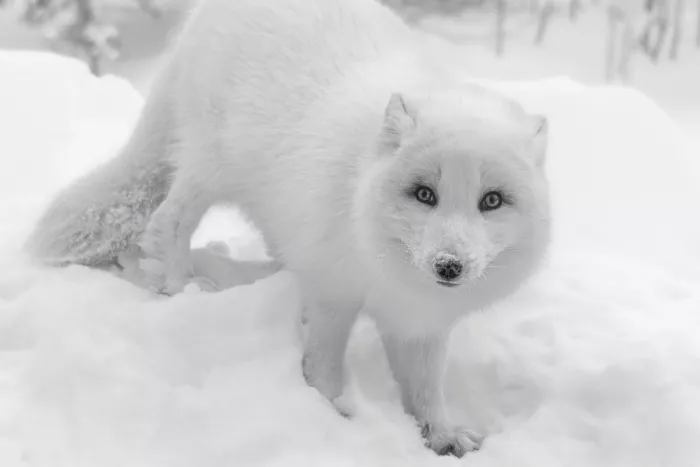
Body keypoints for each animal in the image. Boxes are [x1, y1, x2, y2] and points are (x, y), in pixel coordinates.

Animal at [25, 0, 551, 457]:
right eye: (425, 194)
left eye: (491, 201)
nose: (449, 266)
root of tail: (201, 17)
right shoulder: (333, 292)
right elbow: (324, 365)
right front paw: (335, 416)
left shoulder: (418, 325)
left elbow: (424, 392)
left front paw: (441, 439)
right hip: (213, 166)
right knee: (168, 220)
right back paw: (181, 285)